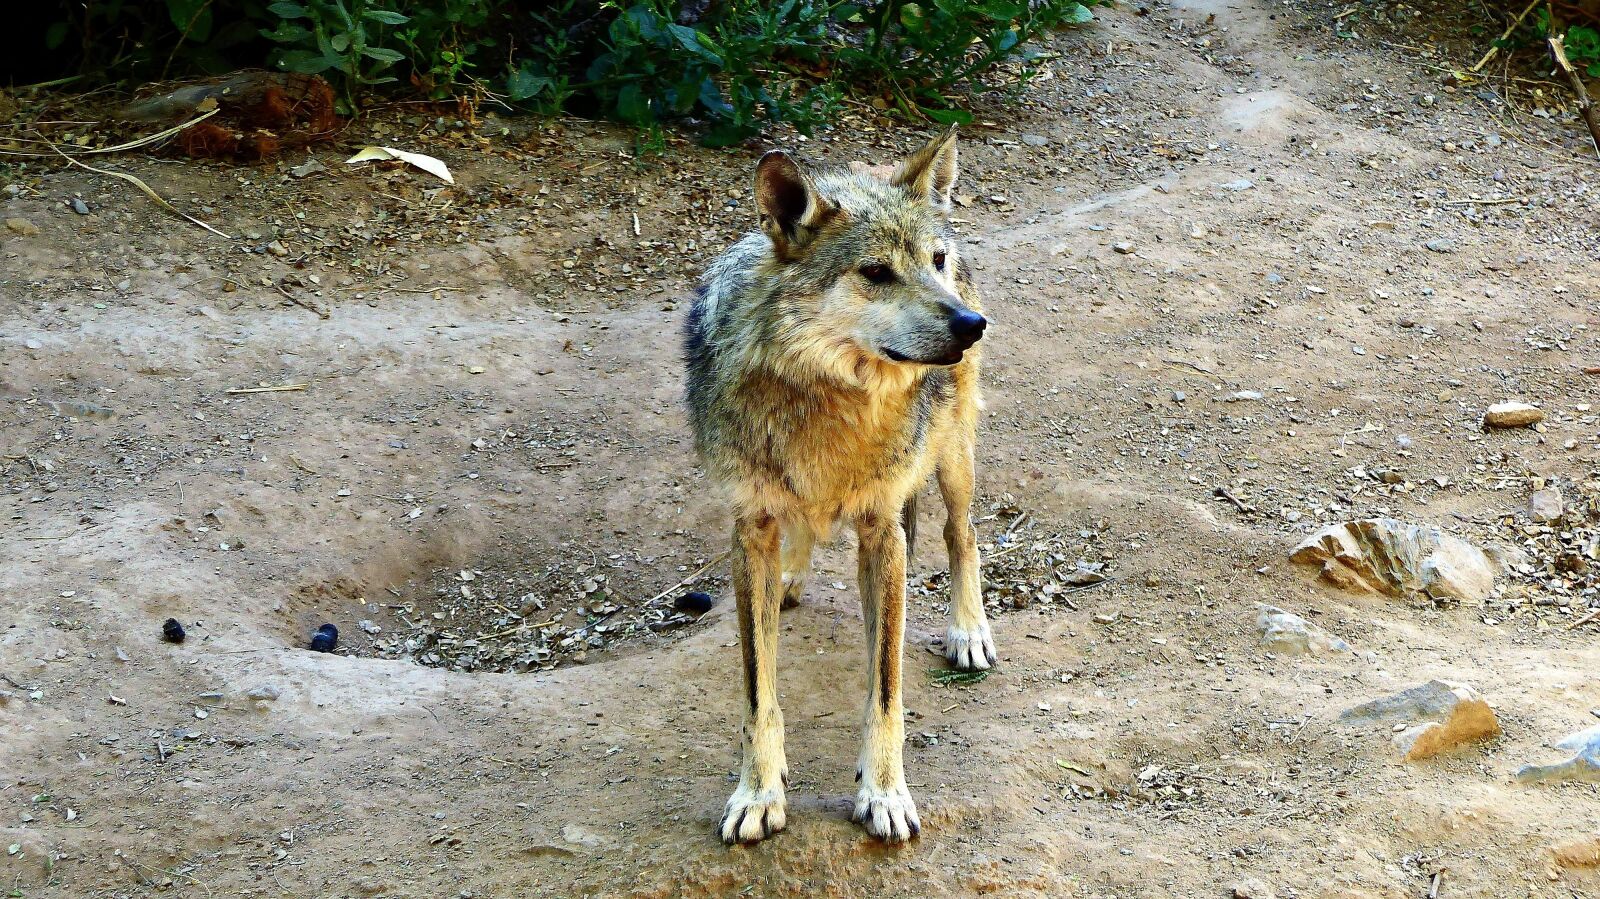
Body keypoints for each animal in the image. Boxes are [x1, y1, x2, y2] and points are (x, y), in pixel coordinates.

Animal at [683, 126, 994, 845]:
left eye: (934, 260)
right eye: (876, 272)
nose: (970, 324)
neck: (830, 400)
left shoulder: (883, 530)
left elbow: (885, 688)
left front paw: (884, 793)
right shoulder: (750, 527)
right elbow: (758, 690)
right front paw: (758, 793)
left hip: (952, 453)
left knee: (961, 532)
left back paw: (968, 630)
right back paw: (792, 579)